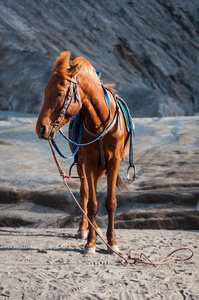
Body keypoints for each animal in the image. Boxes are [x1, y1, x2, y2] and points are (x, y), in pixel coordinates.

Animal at [36, 51, 134, 253]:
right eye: (45, 91)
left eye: (59, 92)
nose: (41, 128)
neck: (100, 124)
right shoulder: (87, 162)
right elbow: (91, 203)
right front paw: (90, 242)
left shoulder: (113, 162)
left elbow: (110, 203)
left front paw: (112, 242)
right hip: (82, 164)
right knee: (85, 193)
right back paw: (85, 228)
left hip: (100, 167)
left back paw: (94, 228)